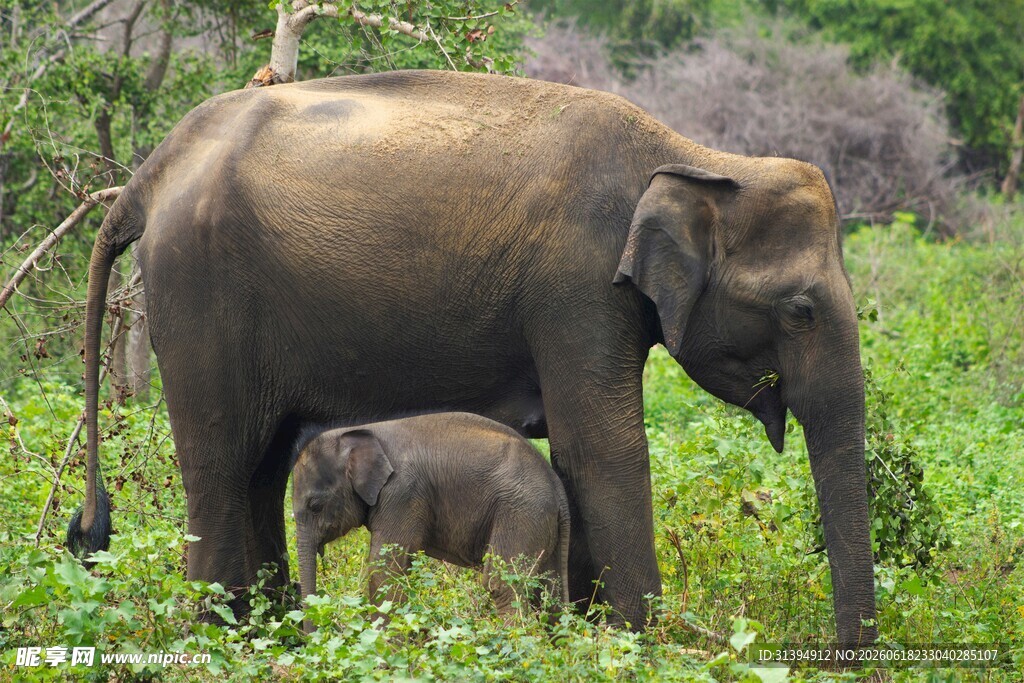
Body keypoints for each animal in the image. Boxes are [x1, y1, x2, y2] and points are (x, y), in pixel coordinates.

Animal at [292, 412, 570, 630]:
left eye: (315, 506)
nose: (310, 636)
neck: (357, 432)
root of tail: (557, 487)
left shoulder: (403, 493)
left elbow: (384, 571)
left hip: (521, 512)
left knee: (502, 585)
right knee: (549, 590)